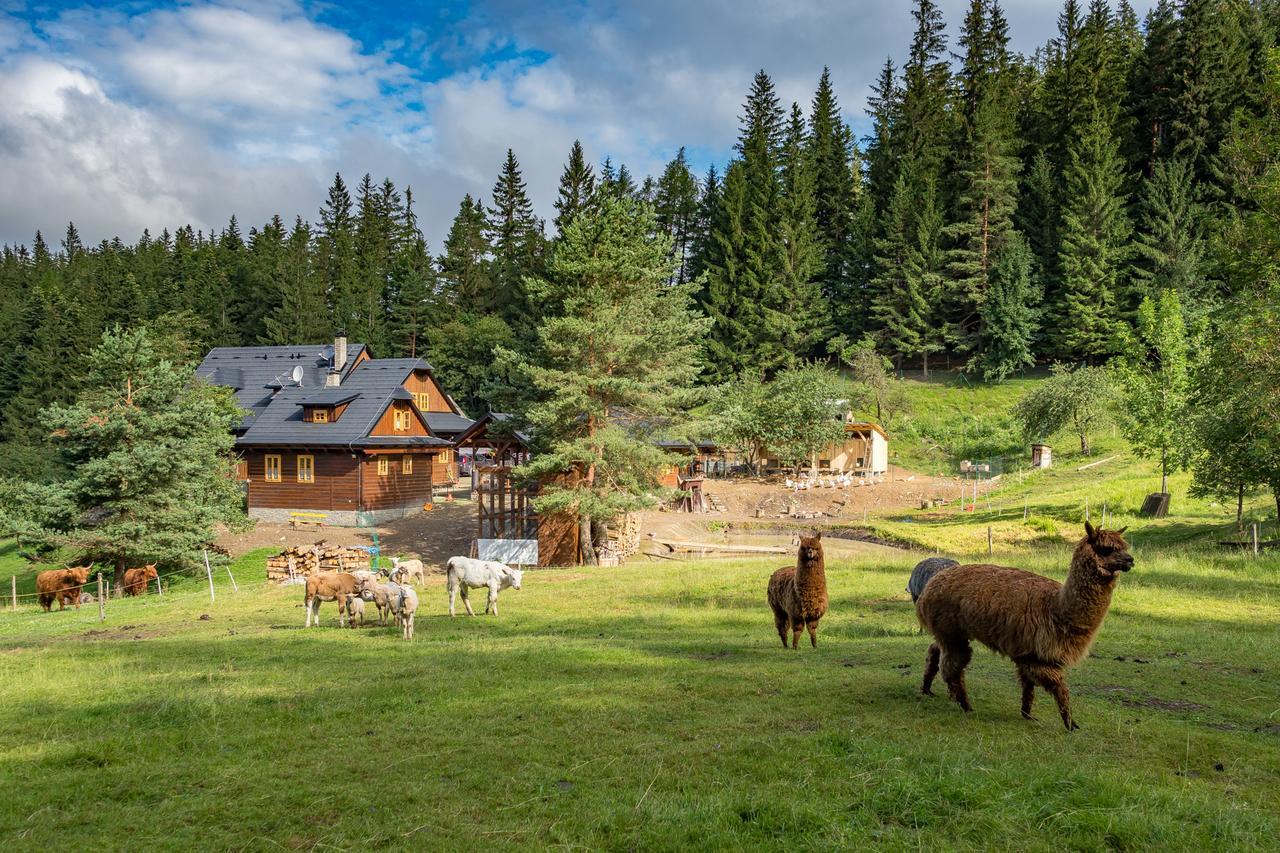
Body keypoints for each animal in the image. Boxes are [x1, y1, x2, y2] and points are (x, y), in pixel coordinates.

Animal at [916, 522, 1136, 727]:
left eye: (1124, 547)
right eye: (1105, 549)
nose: (1130, 560)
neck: (1056, 608)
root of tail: (932, 584)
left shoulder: (1026, 653)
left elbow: (1028, 686)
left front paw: (1028, 714)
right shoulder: (1037, 656)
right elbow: (1059, 686)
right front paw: (1070, 724)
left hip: (951, 632)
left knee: (935, 650)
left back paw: (928, 689)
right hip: (950, 630)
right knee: (952, 666)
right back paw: (965, 705)